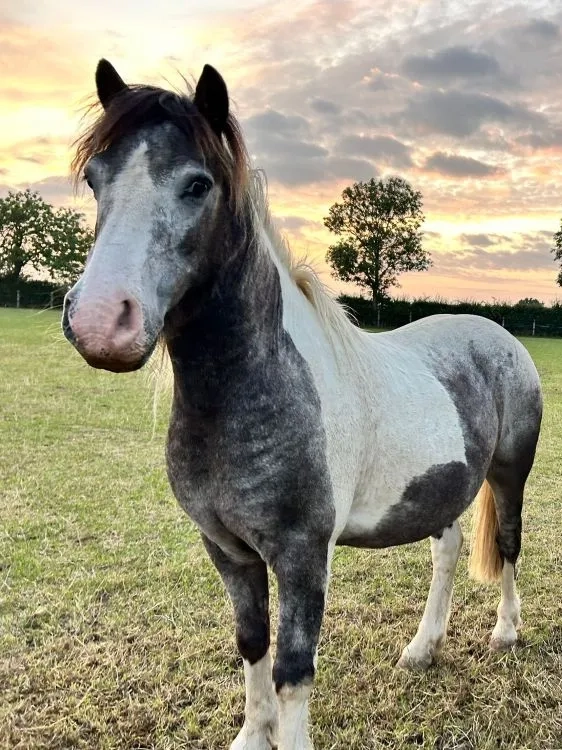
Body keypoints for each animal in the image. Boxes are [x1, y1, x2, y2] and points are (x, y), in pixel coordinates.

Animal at [62, 59, 543, 750]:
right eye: (95, 178)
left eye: (197, 184)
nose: (101, 321)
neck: (249, 398)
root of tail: (497, 334)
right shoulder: (228, 549)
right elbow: (252, 645)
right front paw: (250, 735)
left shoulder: (302, 553)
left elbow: (293, 669)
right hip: (441, 487)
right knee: (447, 550)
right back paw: (422, 649)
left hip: (508, 472)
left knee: (507, 544)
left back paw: (505, 633)